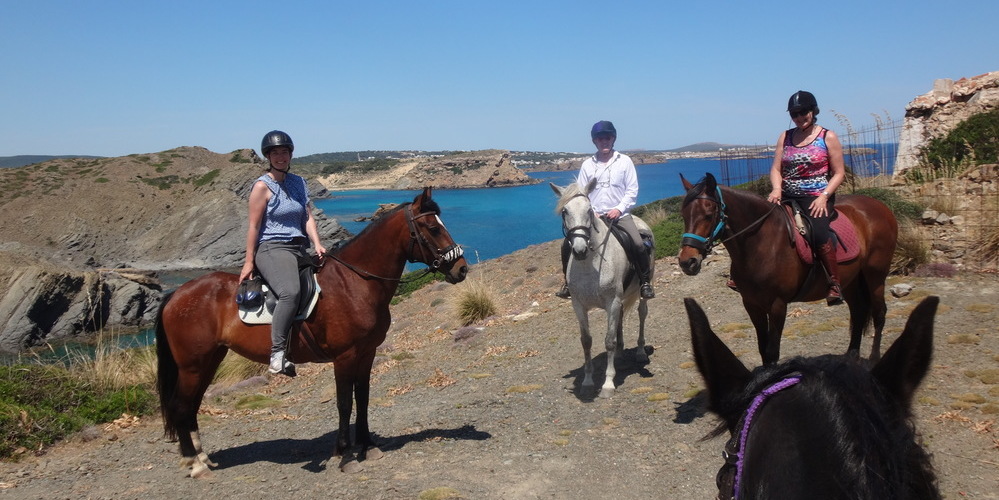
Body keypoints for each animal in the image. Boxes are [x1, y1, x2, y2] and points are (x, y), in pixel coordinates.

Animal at [155, 187, 468, 478]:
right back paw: (196, 464)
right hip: (192, 365)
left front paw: (367, 446)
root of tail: (176, 295)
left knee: (191, 406)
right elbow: (344, 403)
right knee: (181, 406)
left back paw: (202, 457)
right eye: (433, 228)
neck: (354, 282)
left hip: (209, 361)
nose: (461, 269)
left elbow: (363, 397)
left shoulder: (367, 353)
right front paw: (345, 455)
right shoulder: (344, 357)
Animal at [551, 179, 652, 398]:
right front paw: (588, 382)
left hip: (641, 292)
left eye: (589, 210)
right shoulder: (578, 305)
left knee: (642, 313)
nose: (579, 250)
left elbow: (609, 341)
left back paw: (640, 352)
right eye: (565, 211)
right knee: (621, 318)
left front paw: (608, 384)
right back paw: (621, 355)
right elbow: (587, 341)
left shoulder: (611, 301)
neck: (590, 264)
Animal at [678, 173, 898, 364]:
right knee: (859, 312)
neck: (762, 243)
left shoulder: (777, 305)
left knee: (879, 313)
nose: (687, 262)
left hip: (875, 275)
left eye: (708, 214)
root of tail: (880, 206)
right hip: (850, 279)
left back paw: (874, 359)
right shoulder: (751, 304)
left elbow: (772, 351)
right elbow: (762, 349)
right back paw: (850, 357)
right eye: (684, 215)